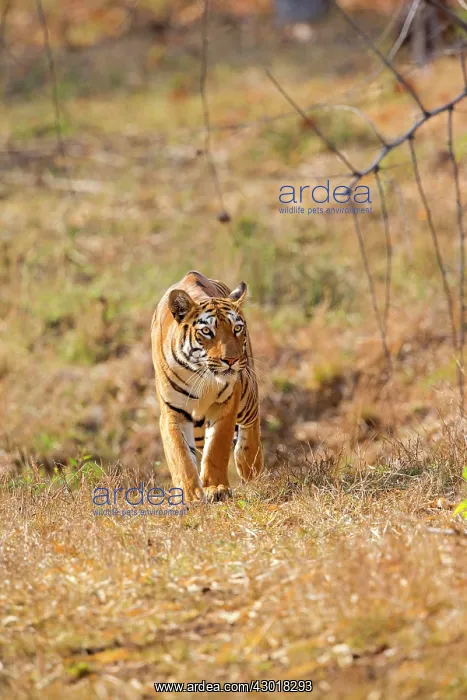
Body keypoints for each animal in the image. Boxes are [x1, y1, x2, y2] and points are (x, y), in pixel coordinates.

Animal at [151, 270, 263, 503]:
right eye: (206, 331)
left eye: (237, 328)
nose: (231, 360)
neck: (200, 374)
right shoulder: (172, 413)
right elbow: (180, 456)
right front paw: (190, 495)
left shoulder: (226, 404)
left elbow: (217, 449)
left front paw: (216, 488)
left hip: (247, 394)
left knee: (252, 423)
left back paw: (249, 465)